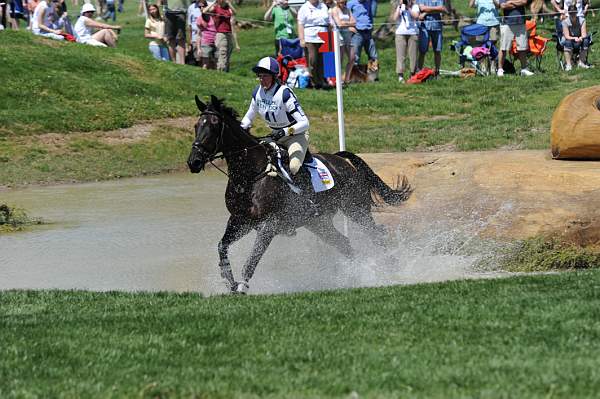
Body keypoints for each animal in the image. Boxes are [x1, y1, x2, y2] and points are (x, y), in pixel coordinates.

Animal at [188, 94, 412, 294]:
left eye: (213, 126)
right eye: (196, 126)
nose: (193, 162)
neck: (250, 175)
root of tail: (343, 162)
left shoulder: (269, 225)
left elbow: (251, 260)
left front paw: (242, 287)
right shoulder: (239, 220)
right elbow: (222, 247)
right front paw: (230, 282)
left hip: (356, 210)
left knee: (378, 234)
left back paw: (392, 269)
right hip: (318, 223)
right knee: (344, 244)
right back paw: (355, 275)